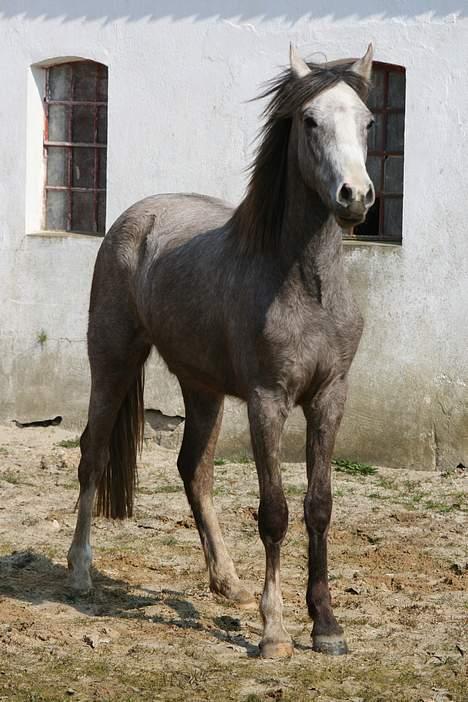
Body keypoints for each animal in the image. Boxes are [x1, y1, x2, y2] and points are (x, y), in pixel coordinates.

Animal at [67, 44, 374, 660]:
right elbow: (275, 511)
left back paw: (227, 581)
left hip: (202, 388)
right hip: (112, 362)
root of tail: (133, 218)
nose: (355, 196)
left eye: (369, 122)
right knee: (93, 454)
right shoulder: (267, 401)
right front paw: (275, 632)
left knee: (193, 469)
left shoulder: (329, 397)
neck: (304, 282)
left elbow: (320, 506)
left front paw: (326, 626)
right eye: (310, 121)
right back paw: (81, 571)